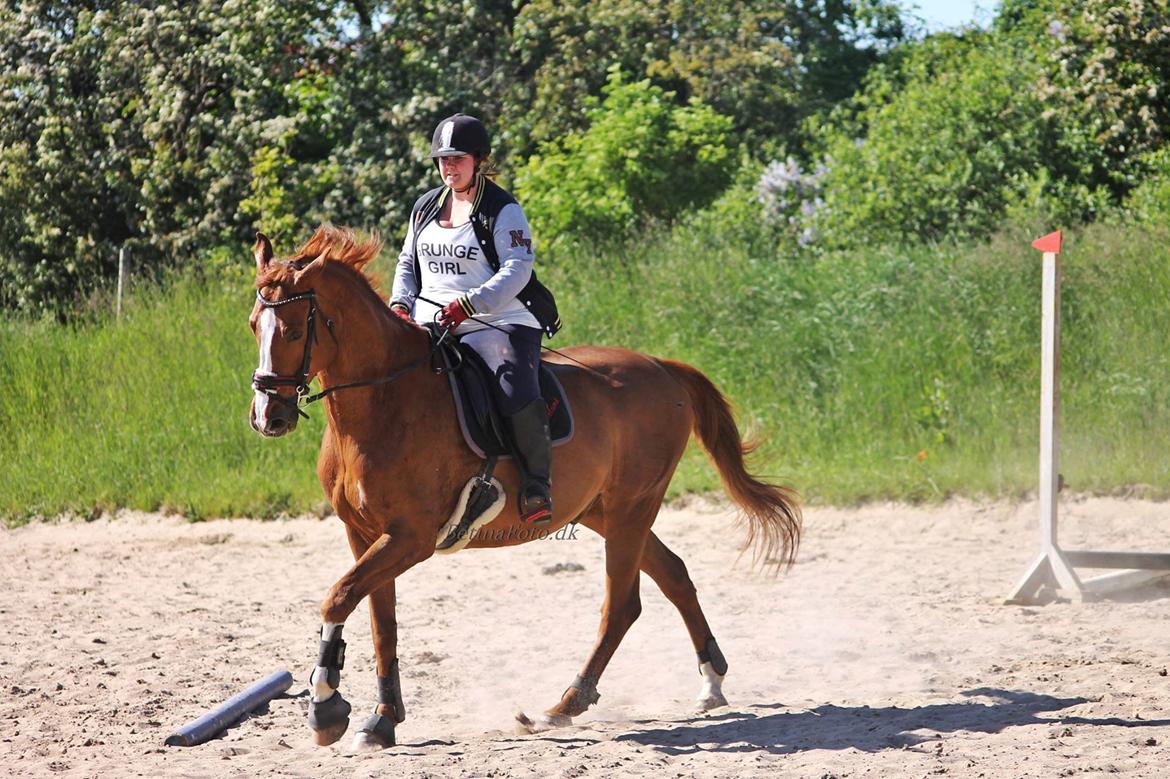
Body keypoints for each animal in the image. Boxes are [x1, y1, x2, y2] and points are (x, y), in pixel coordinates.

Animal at [245, 223, 795, 748]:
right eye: (254, 325)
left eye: (292, 330)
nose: (268, 417)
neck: (384, 403)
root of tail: (663, 368)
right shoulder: (363, 534)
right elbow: (382, 626)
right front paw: (382, 721)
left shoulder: (410, 537)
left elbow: (337, 598)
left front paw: (325, 708)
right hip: (601, 511)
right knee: (673, 575)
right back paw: (710, 681)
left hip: (630, 508)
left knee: (622, 604)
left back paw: (565, 704)